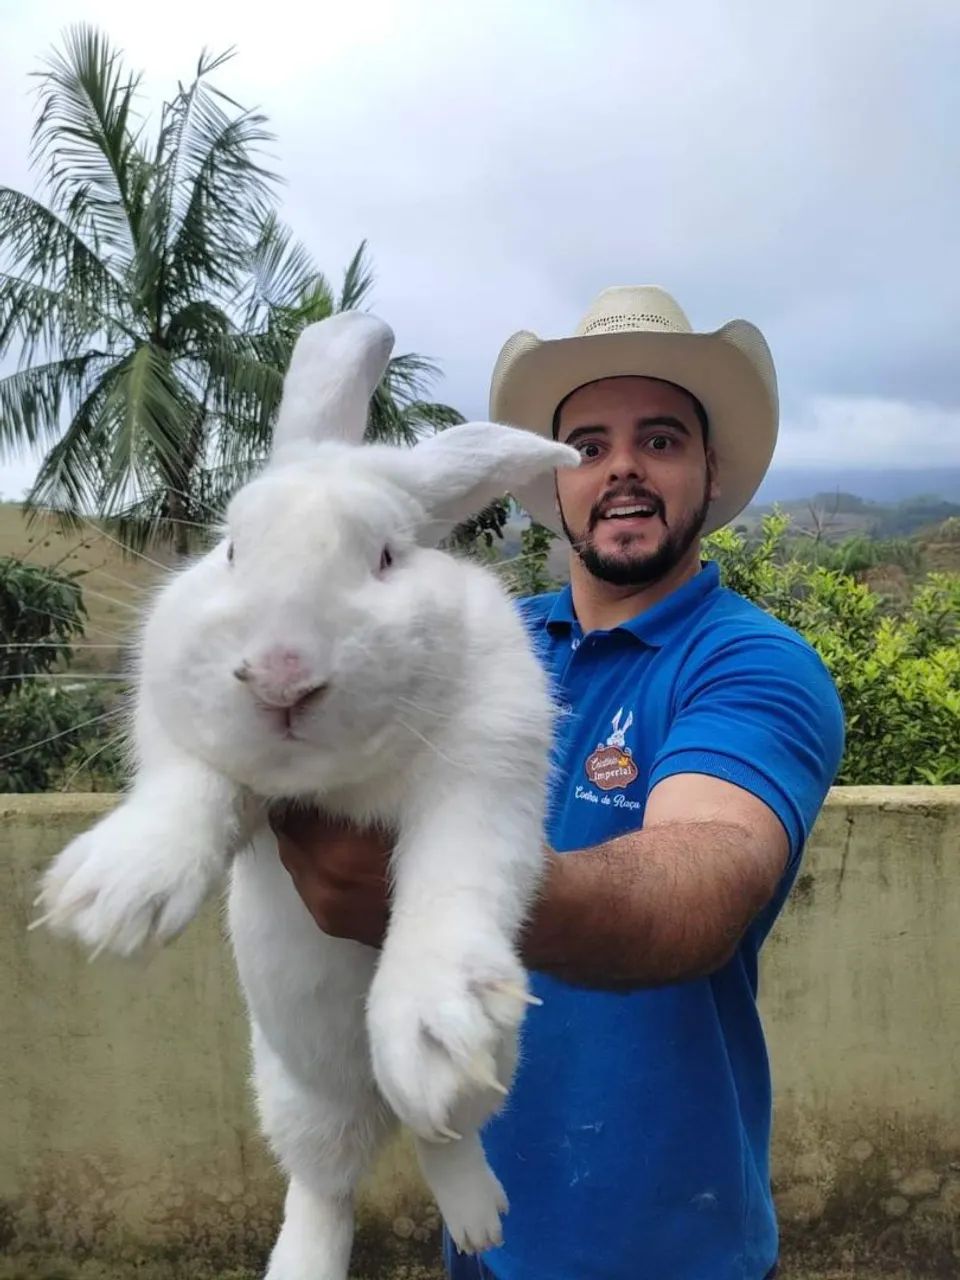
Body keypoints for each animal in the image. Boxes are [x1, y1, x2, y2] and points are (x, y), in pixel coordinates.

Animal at [31, 310, 580, 1280]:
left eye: (388, 555)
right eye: (231, 548)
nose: (280, 676)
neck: (334, 780)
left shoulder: (489, 760)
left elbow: (457, 872)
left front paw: (434, 1021)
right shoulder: (179, 723)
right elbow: (192, 786)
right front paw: (110, 896)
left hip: (487, 1062)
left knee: (441, 1130)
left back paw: (475, 1210)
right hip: (295, 1090)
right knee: (324, 1186)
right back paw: (303, 1264)